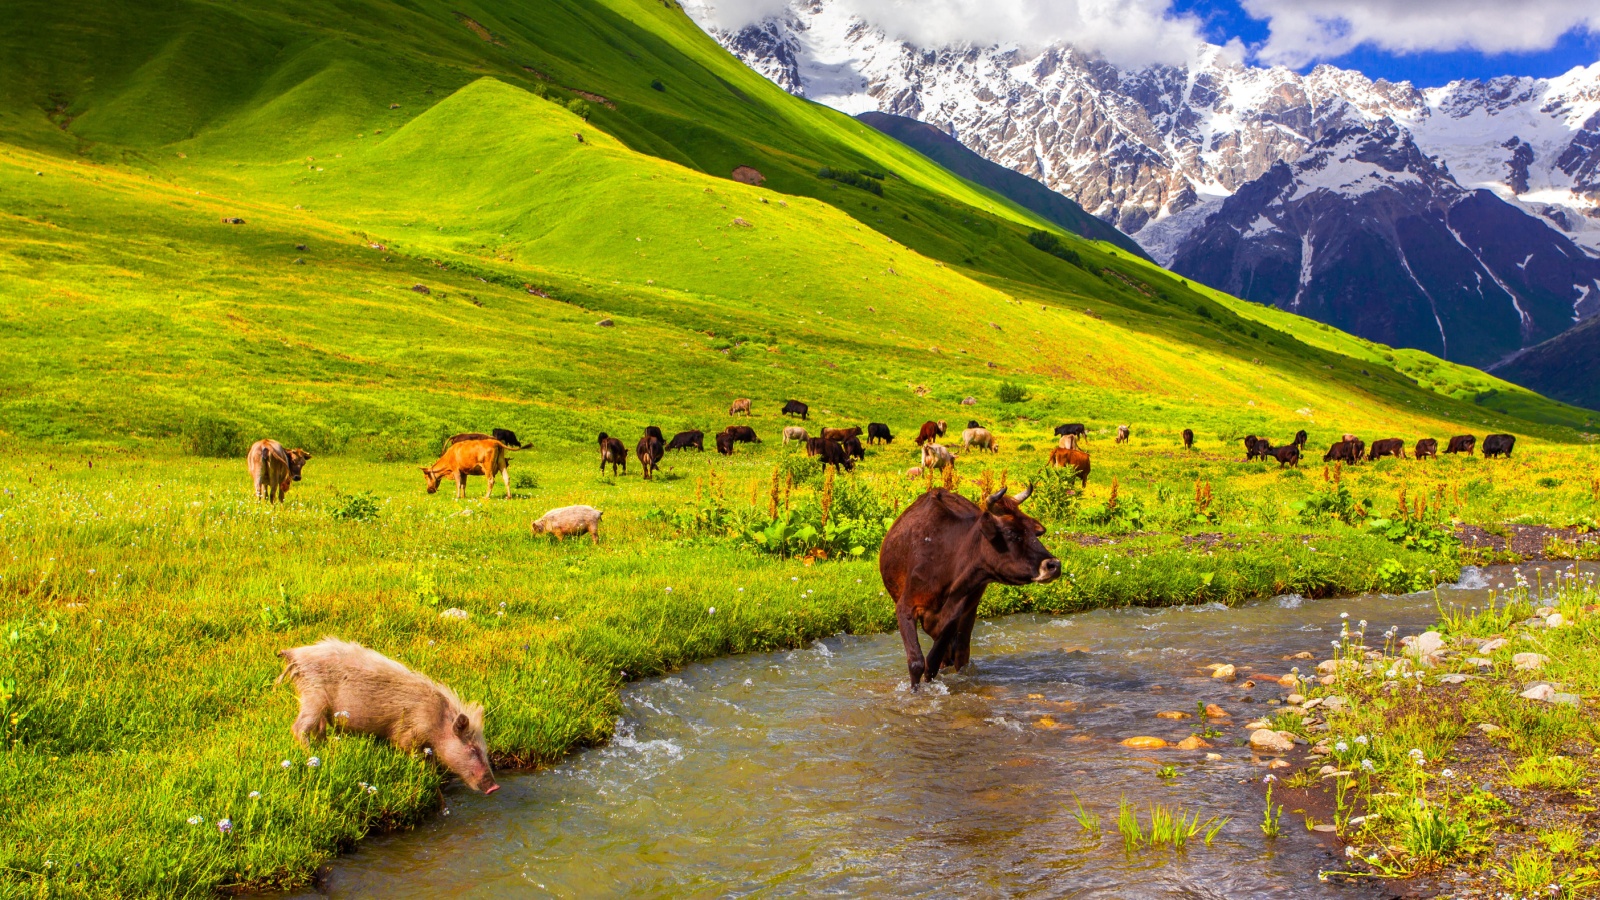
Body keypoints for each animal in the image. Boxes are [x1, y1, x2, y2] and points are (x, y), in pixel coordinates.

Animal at [275, 637, 496, 791]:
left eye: (485, 750)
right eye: (472, 749)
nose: (495, 786)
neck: (437, 720)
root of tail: (295, 653)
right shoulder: (407, 733)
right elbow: (409, 750)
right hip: (313, 696)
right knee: (298, 727)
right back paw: (311, 754)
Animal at [876, 486, 1062, 682]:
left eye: (1034, 533)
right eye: (1012, 533)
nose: (1054, 565)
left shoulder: (956, 614)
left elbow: (932, 662)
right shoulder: (905, 608)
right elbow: (917, 662)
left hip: (970, 611)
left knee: (960, 653)